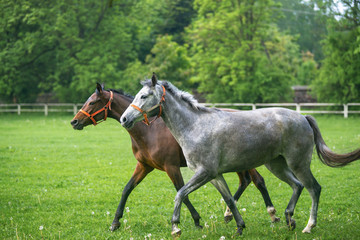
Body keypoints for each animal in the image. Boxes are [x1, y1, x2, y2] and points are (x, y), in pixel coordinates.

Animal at [69, 84, 278, 231]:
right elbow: (127, 189)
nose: (74, 121)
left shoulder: (171, 167)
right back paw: (229, 214)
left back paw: (272, 214)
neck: (149, 132)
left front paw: (196, 221)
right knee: (246, 181)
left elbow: (181, 192)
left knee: (258, 181)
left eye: (92, 102)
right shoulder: (144, 166)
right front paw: (115, 223)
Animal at [121, 74, 360, 237]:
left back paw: (309, 226)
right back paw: (288, 219)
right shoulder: (214, 176)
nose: (124, 119)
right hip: (277, 165)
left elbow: (180, 194)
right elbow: (229, 199)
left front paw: (176, 227)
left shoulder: (204, 173)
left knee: (313, 188)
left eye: (144, 96)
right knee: (297, 186)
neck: (195, 127)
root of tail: (303, 117)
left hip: (298, 164)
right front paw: (239, 227)